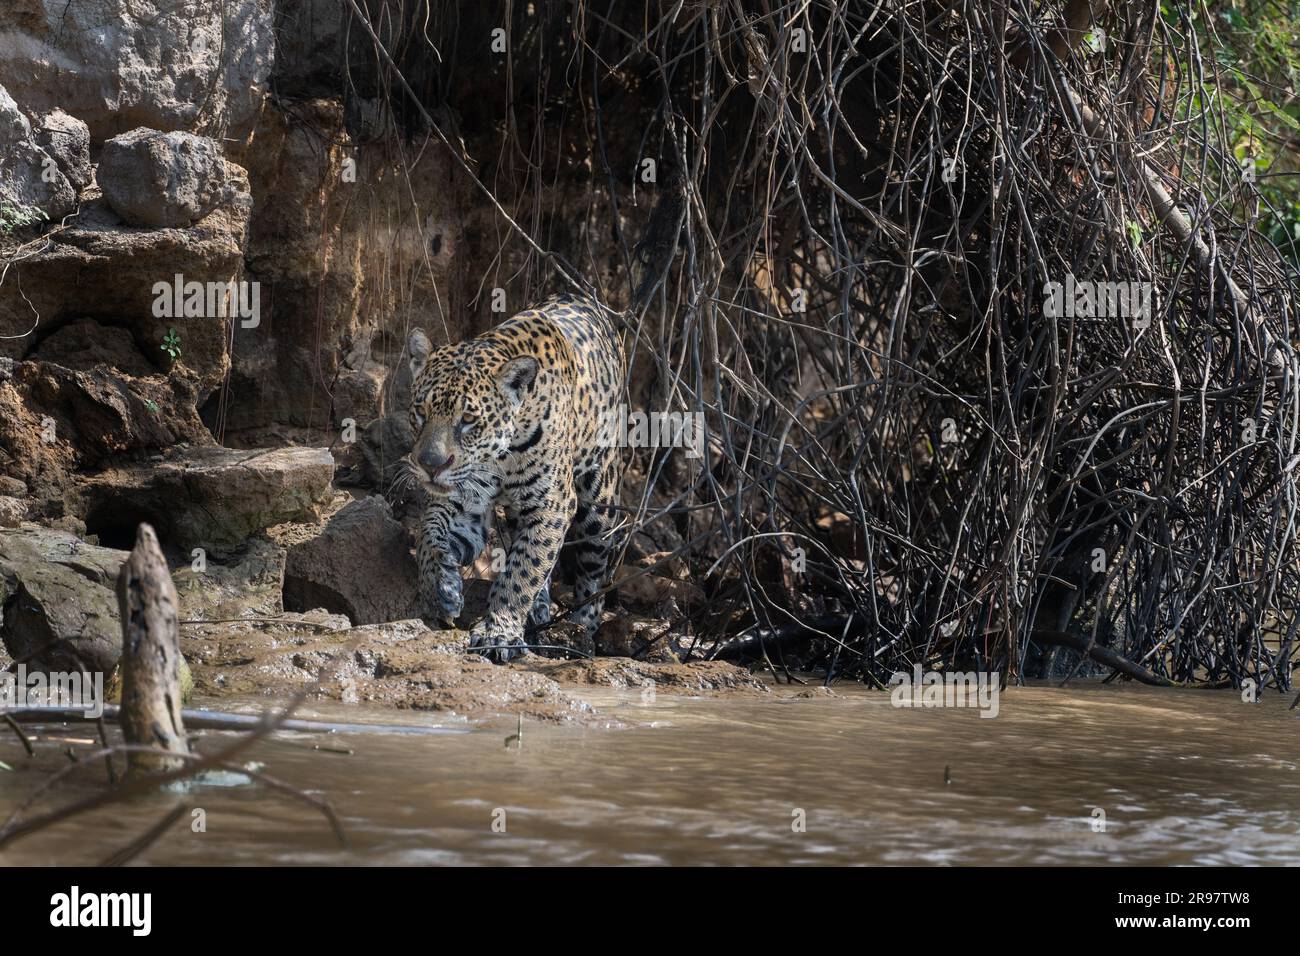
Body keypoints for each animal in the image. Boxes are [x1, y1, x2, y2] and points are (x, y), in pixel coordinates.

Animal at [403, 292, 625, 662]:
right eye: (421, 412)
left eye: (468, 420)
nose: (430, 464)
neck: (501, 455)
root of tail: (586, 297)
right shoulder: (466, 501)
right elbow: (429, 535)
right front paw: (440, 588)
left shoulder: (553, 504)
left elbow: (524, 569)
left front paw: (499, 631)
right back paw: (539, 609)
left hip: (599, 500)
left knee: (592, 569)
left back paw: (581, 627)